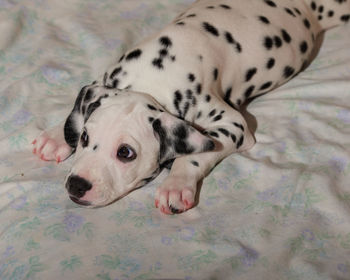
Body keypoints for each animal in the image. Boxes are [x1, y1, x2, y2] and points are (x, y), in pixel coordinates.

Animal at [32, 0, 350, 214]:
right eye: (85, 137)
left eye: (126, 153)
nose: (76, 184)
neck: (155, 75)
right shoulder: (106, 78)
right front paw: (56, 136)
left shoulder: (233, 125)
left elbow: (197, 154)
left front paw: (175, 184)